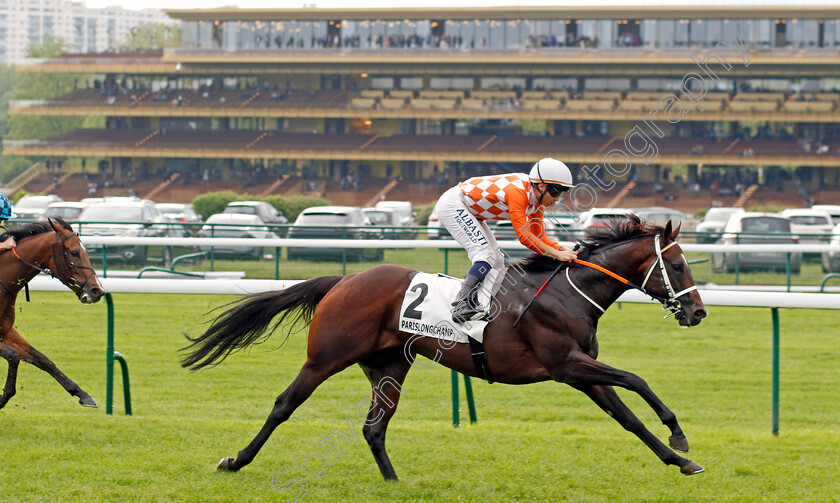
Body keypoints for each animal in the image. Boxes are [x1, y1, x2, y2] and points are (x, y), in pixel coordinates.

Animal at [0, 219, 105, 412]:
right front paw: (2, 398)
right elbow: (13, 355)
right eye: (74, 252)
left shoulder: (6, 331)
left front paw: (83, 395)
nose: (97, 291)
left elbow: (41, 359)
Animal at [182, 217, 708, 480]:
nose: (698, 312)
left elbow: (628, 417)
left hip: (389, 365)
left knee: (374, 427)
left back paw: (395, 483)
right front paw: (680, 437)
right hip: (325, 358)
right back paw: (235, 461)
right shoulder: (566, 365)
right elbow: (638, 380)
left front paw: (680, 460)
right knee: (283, 405)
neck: (566, 294)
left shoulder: (582, 371)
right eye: (678, 265)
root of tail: (344, 280)